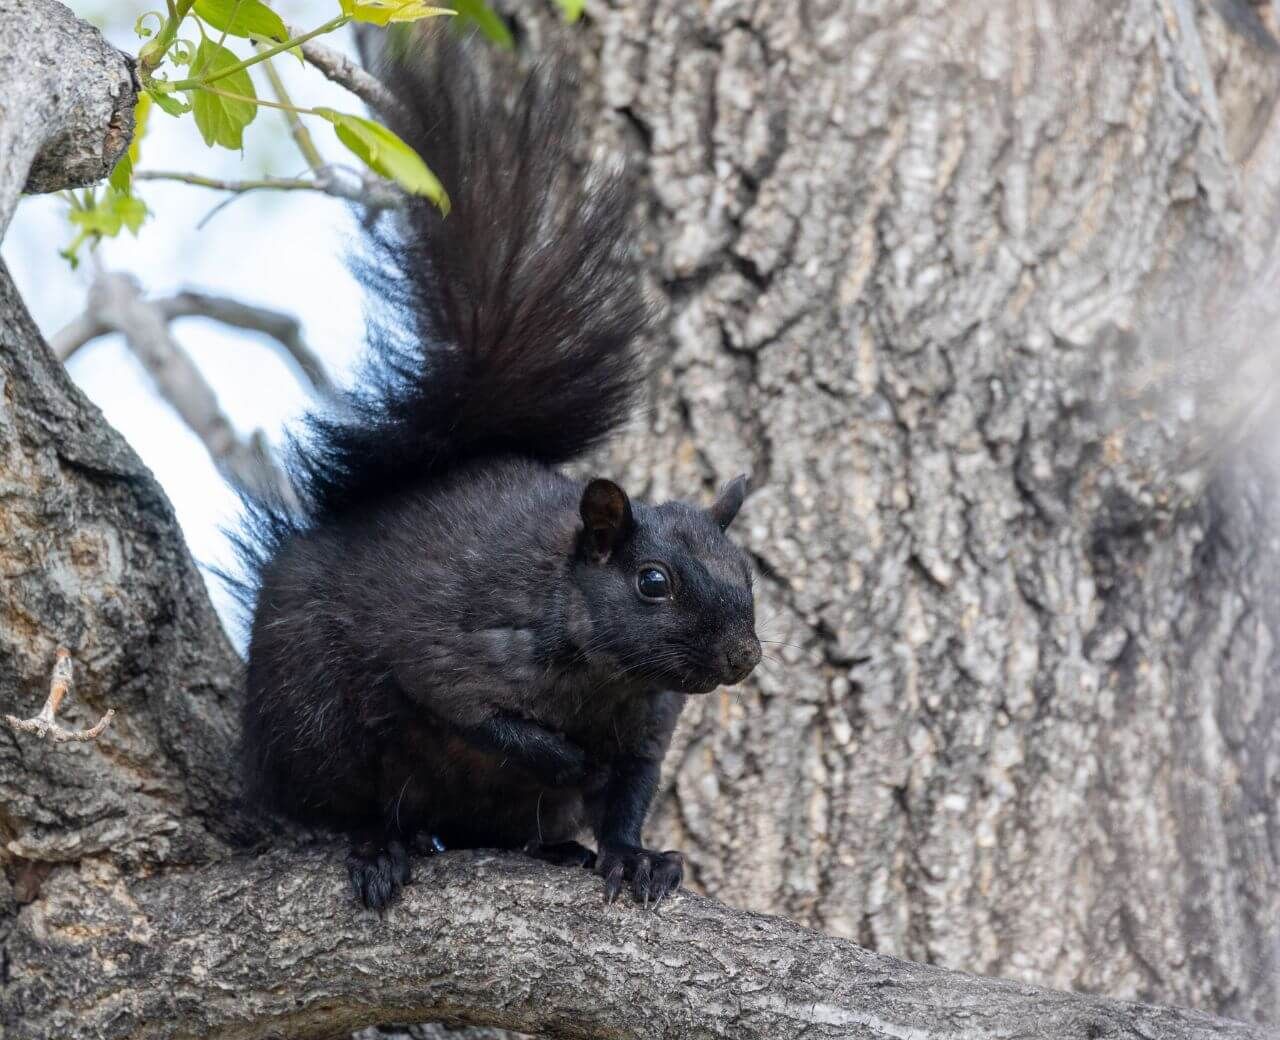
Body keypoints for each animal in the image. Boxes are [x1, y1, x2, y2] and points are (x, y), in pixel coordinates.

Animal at [232, 28, 761, 910]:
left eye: (747, 571)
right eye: (652, 581)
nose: (743, 656)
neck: (606, 676)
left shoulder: (649, 723)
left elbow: (630, 794)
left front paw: (633, 856)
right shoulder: (455, 651)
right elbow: (491, 723)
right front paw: (571, 759)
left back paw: (556, 850)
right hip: (312, 714)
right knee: (351, 804)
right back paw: (383, 846)